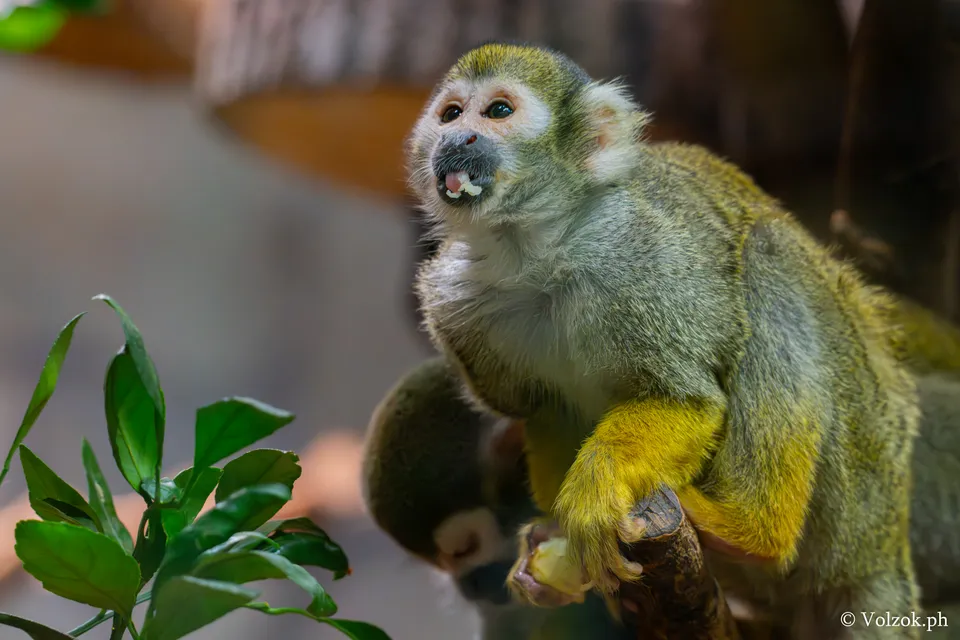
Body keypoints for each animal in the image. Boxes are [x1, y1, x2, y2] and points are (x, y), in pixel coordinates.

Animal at [406, 41, 935, 637]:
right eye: (451, 114)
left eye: (498, 111)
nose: (459, 138)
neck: (537, 252)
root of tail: (887, 540)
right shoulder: (452, 303)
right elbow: (543, 409)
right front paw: (553, 549)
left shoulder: (636, 257)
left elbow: (684, 397)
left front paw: (597, 488)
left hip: (858, 482)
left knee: (768, 257)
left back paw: (750, 531)